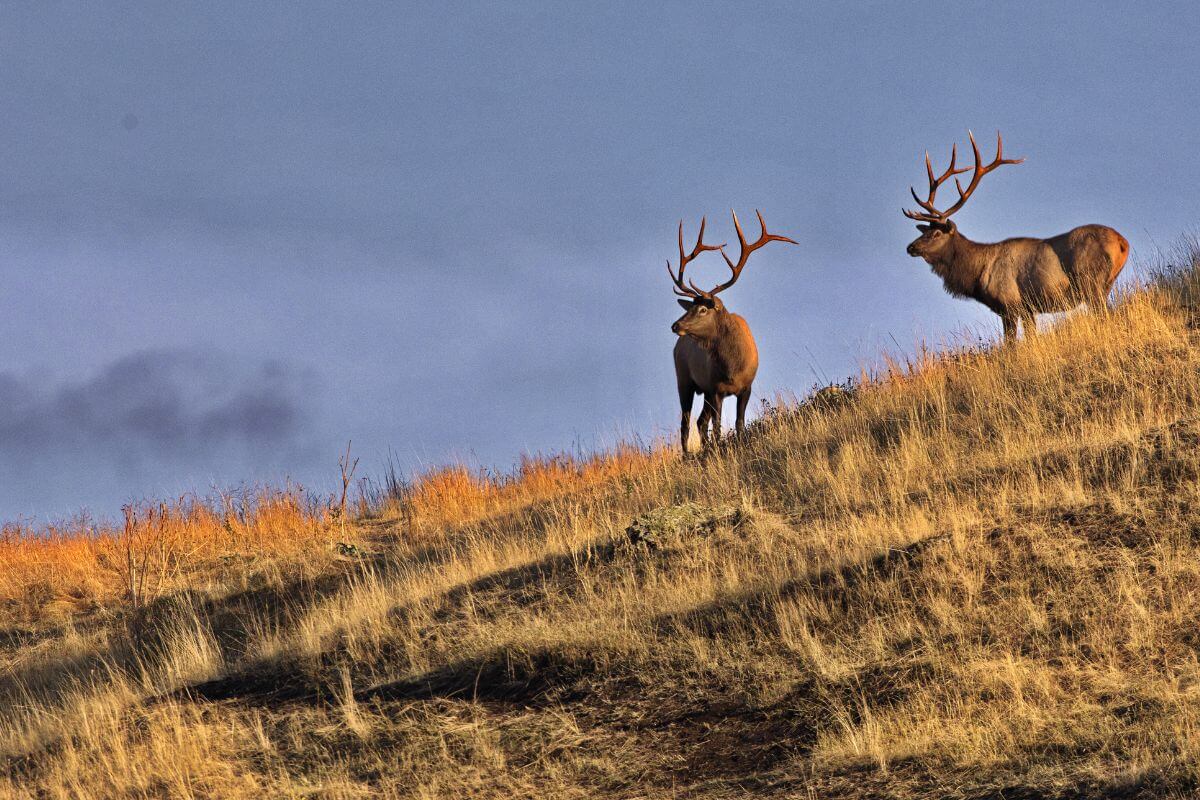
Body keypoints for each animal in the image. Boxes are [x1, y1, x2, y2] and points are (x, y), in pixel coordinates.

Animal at [667, 209, 796, 453]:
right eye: (692, 307)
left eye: (703, 309)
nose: (675, 325)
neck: (733, 367)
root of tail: (677, 346)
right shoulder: (716, 388)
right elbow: (718, 428)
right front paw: (719, 449)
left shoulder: (746, 386)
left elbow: (739, 423)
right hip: (684, 380)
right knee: (686, 423)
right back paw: (687, 455)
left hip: (702, 391)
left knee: (700, 421)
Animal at [902, 130, 1128, 340]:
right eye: (925, 231)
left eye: (936, 234)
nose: (910, 247)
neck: (977, 273)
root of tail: (1122, 243)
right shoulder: (1029, 309)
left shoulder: (1010, 304)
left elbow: (1009, 344)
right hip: (1106, 284)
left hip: (1091, 282)